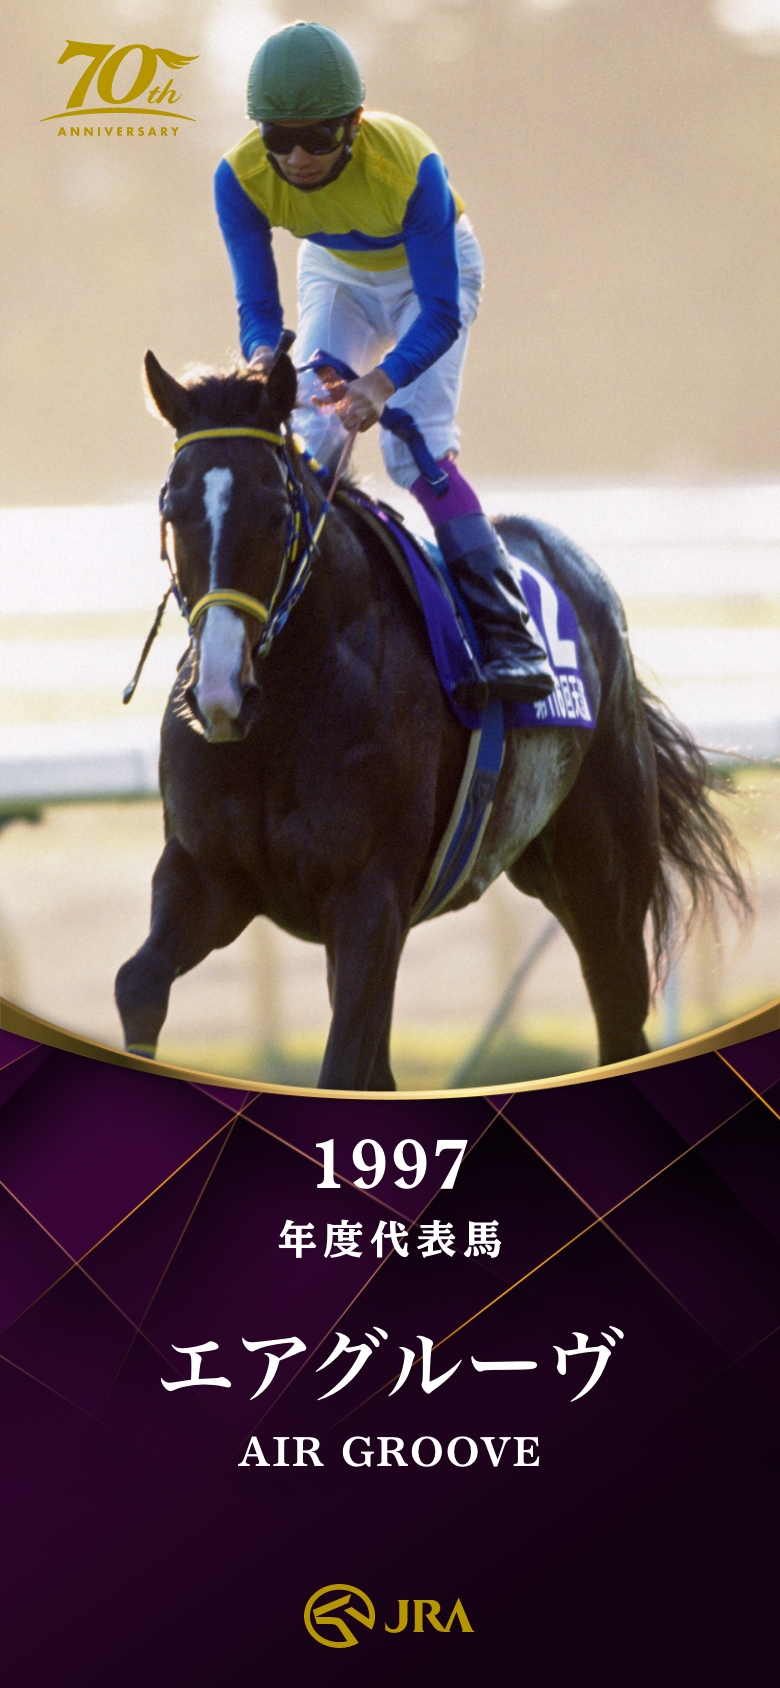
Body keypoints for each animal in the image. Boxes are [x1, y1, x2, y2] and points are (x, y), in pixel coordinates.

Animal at [115, 350, 748, 1090]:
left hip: (604, 881)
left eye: (274, 512)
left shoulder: (368, 897)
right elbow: (138, 982)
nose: (219, 693)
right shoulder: (207, 875)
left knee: (620, 1020)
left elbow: (345, 1063)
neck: (283, 717)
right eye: (173, 510)